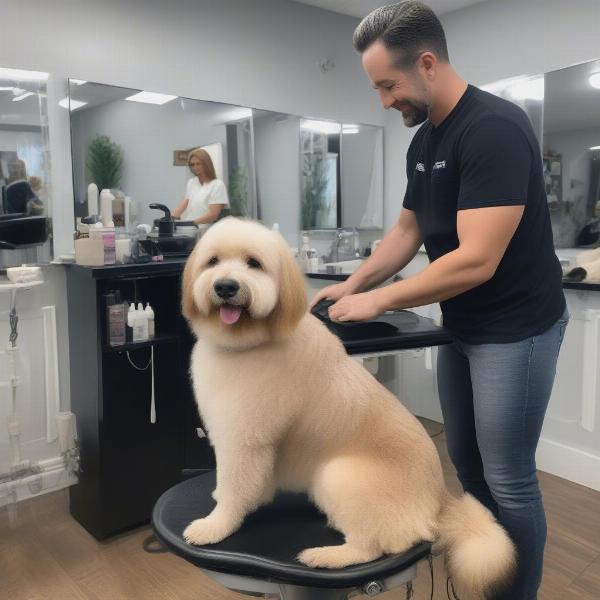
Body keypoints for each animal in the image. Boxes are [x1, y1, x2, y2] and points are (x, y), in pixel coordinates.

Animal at [180, 218, 512, 596]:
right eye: (213, 261)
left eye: (254, 263)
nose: (225, 286)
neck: (250, 343)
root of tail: (441, 504)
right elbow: (242, 485)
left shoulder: (246, 441)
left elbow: (235, 492)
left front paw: (214, 526)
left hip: (338, 476)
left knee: (373, 546)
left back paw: (325, 556)